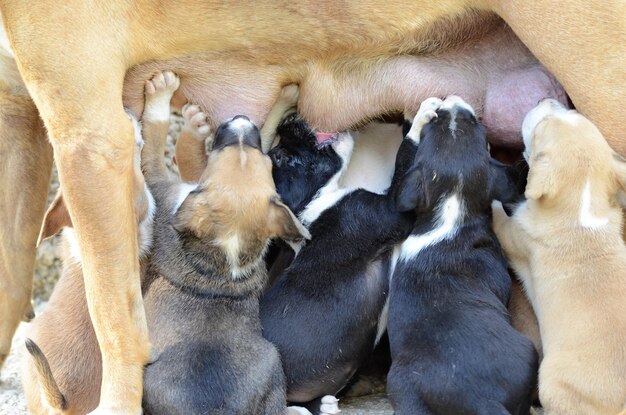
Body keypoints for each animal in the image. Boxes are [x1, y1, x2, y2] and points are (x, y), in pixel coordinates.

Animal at [258, 113, 420, 412]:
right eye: (286, 157)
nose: (289, 118)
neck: (310, 209)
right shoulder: (387, 210)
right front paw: (419, 115)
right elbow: (404, 161)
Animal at [386, 96, 536, 415]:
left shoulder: (402, 198)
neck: (452, 212)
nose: (451, 102)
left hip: (401, 387)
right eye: (478, 124)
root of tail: (482, 400)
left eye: (438, 126)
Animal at [492, 98, 624, 415]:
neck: (581, 207)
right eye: (573, 111)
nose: (548, 99)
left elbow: (497, 214)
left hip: (550, 384)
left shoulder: (513, 233)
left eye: (539, 129)